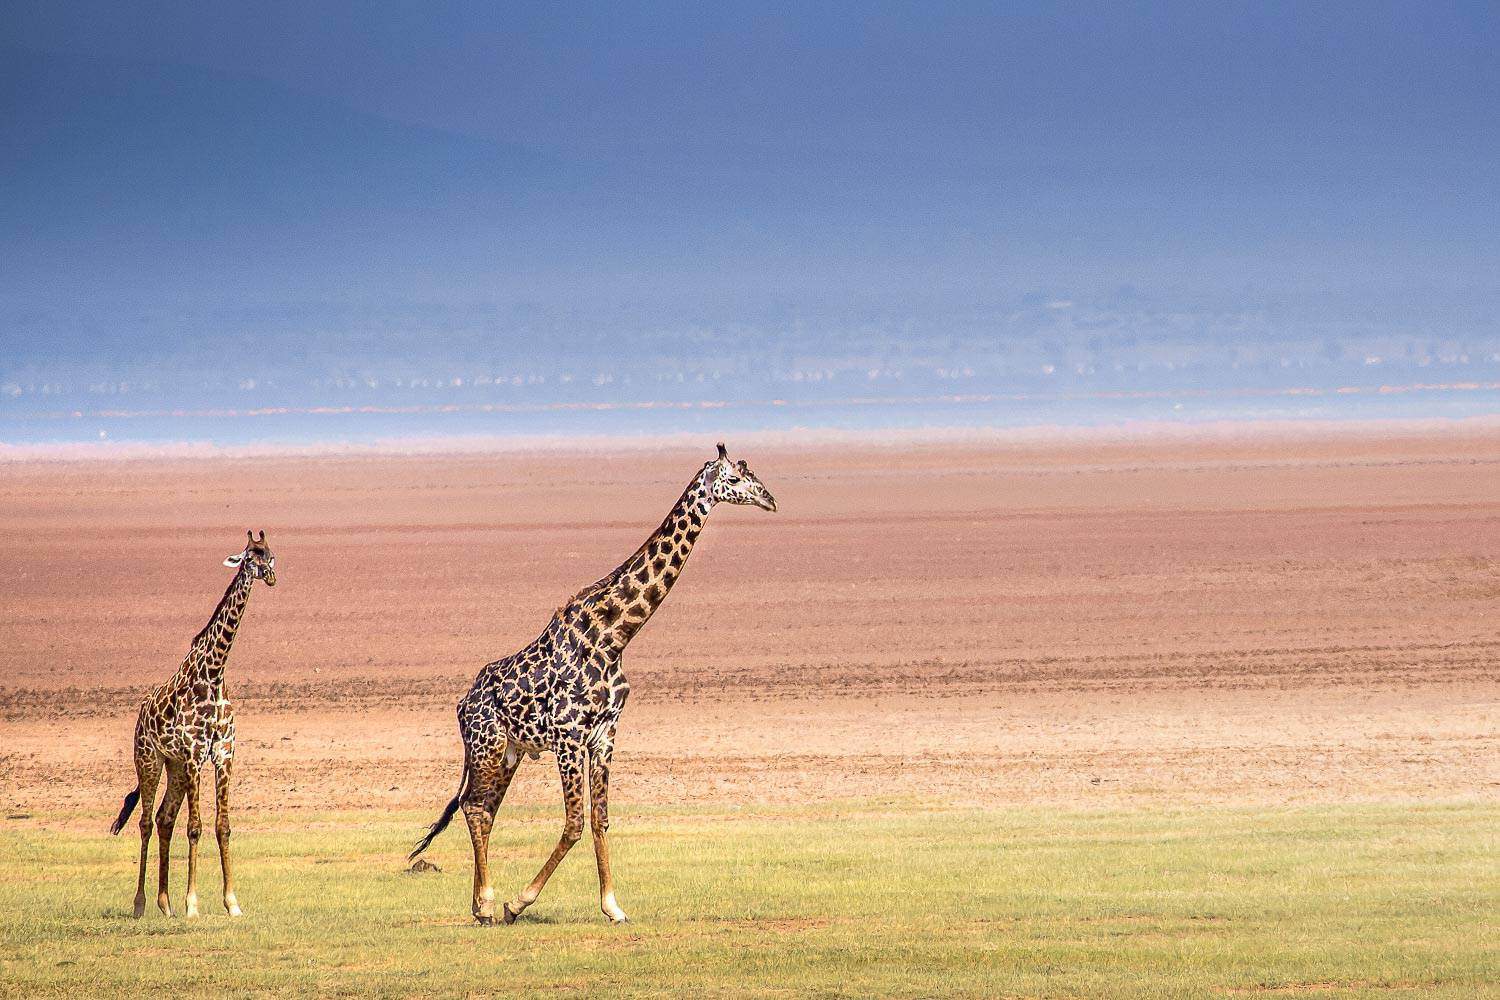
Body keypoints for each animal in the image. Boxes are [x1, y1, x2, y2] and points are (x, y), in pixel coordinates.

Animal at [109, 530, 277, 919]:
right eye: (249, 557)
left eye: (270, 555)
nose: (270, 576)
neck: (214, 674)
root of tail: (141, 712)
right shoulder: (194, 755)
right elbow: (196, 827)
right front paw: (193, 904)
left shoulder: (223, 754)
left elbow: (223, 826)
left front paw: (232, 903)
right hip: (150, 760)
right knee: (145, 821)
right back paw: (141, 904)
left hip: (174, 769)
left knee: (164, 818)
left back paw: (165, 903)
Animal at [410, 443, 777, 925]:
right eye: (734, 479)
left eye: (752, 473)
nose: (770, 500)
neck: (614, 636)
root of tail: (461, 704)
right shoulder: (569, 737)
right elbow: (574, 823)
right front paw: (518, 901)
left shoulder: (604, 735)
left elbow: (600, 819)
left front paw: (613, 906)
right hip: (487, 746)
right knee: (473, 807)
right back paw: (488, 902)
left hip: (509, 752)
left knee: (483, 809)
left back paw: (478, 906)